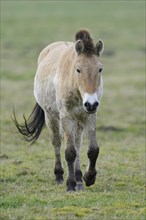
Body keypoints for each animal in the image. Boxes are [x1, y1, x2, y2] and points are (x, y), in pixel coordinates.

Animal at [12, 29, 104, 191]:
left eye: (100, 69)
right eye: (78, 69)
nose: (91, 103)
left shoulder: (89, 116)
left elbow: (93, 150)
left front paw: (88, 178)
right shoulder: (66, 117)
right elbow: (69, 152)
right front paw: (70, 185)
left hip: (78, 120)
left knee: (78, 143)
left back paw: (79, 178)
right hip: (51, 117)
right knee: (57, 142)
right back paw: (60, 175)